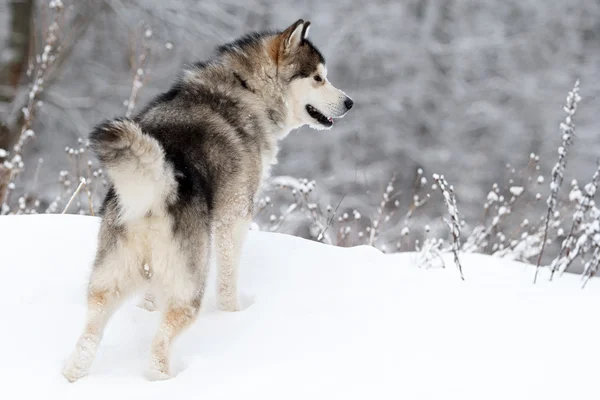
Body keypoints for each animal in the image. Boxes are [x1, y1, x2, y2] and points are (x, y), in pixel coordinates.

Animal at [62, 20, 352, 382]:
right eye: (318, 78)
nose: (350, 102)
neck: (247, 90)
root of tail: (159, 188)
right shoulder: (234, 215)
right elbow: (228, 279)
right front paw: (233, 314)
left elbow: (149, 298)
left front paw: (146, 309)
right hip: (189, 289)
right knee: (161, 345)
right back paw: (166, 378)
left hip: (108, 281)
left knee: (89, 334)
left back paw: (74, 374)